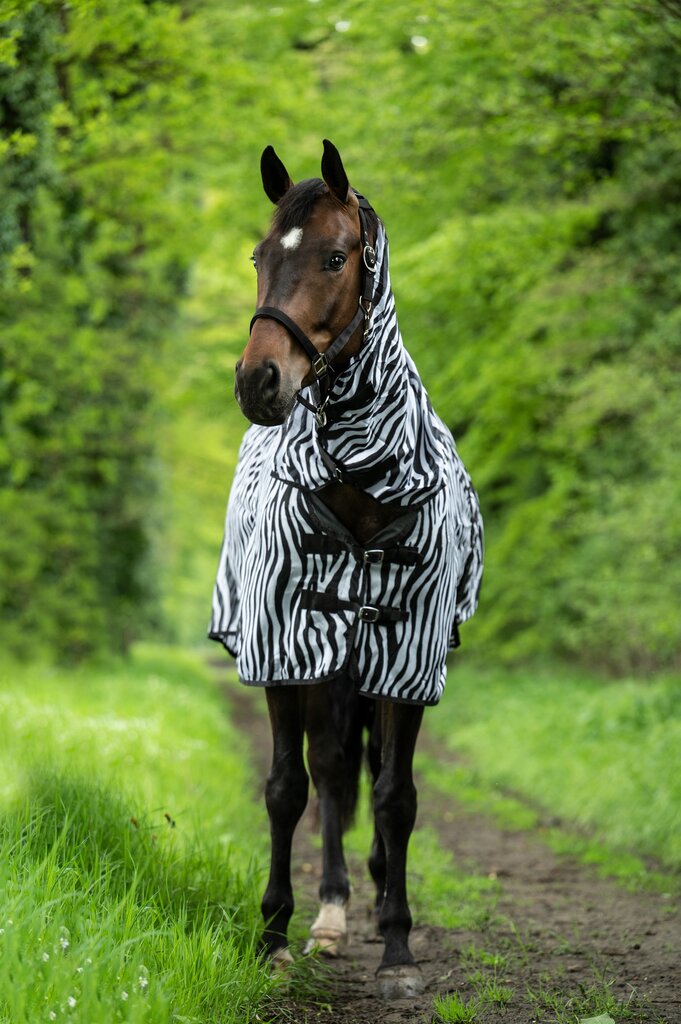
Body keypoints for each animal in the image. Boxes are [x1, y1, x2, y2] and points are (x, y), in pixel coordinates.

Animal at [210, 140, 483, 999]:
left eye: (335, 257)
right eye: (260, 256)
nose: (257, 381)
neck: (362, 482)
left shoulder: (407, 656)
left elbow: (396, 796)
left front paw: (397, 947)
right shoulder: (283, 647)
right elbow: (288, 788)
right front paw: (272, 934)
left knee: (361, 773)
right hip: (324, 658)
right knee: (329, 771)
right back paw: (328, 914)